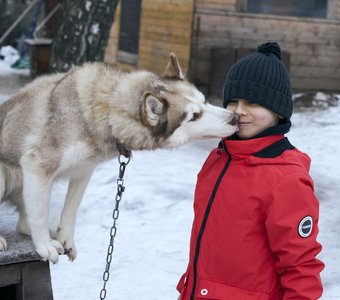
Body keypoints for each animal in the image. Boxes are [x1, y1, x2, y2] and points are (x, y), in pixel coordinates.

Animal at [0, 52, 238, 262]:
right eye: (193, 117)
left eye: (205, 101)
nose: (235, 118)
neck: (105, 111)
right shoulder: (38, 165)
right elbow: (40, 215)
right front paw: (44, 247)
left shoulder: (84, 171)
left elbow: (70, 210)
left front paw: (65, 239)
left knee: (23, 224)